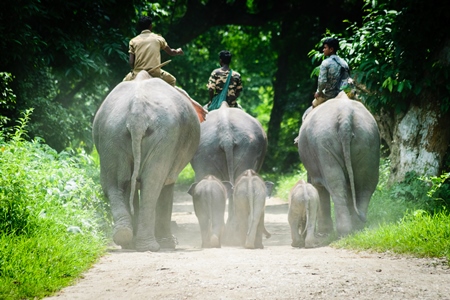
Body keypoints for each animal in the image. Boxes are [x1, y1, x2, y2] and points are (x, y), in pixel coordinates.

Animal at [92, 70, 200, 251]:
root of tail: (137, 113)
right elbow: (166, 184)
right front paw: (169, 244)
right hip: (164, 136)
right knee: (152, 185)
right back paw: (149, 245)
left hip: (111, 134)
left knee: (116, 184)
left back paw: (126, 238)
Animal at [298, 94, 382, 237]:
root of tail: (345, 115)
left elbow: (319, 187)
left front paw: (323, 232)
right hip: (368, 140)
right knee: (366, 183)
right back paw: (358, 225)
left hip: (324, 144)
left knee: (335, 184)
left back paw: (344, 231)